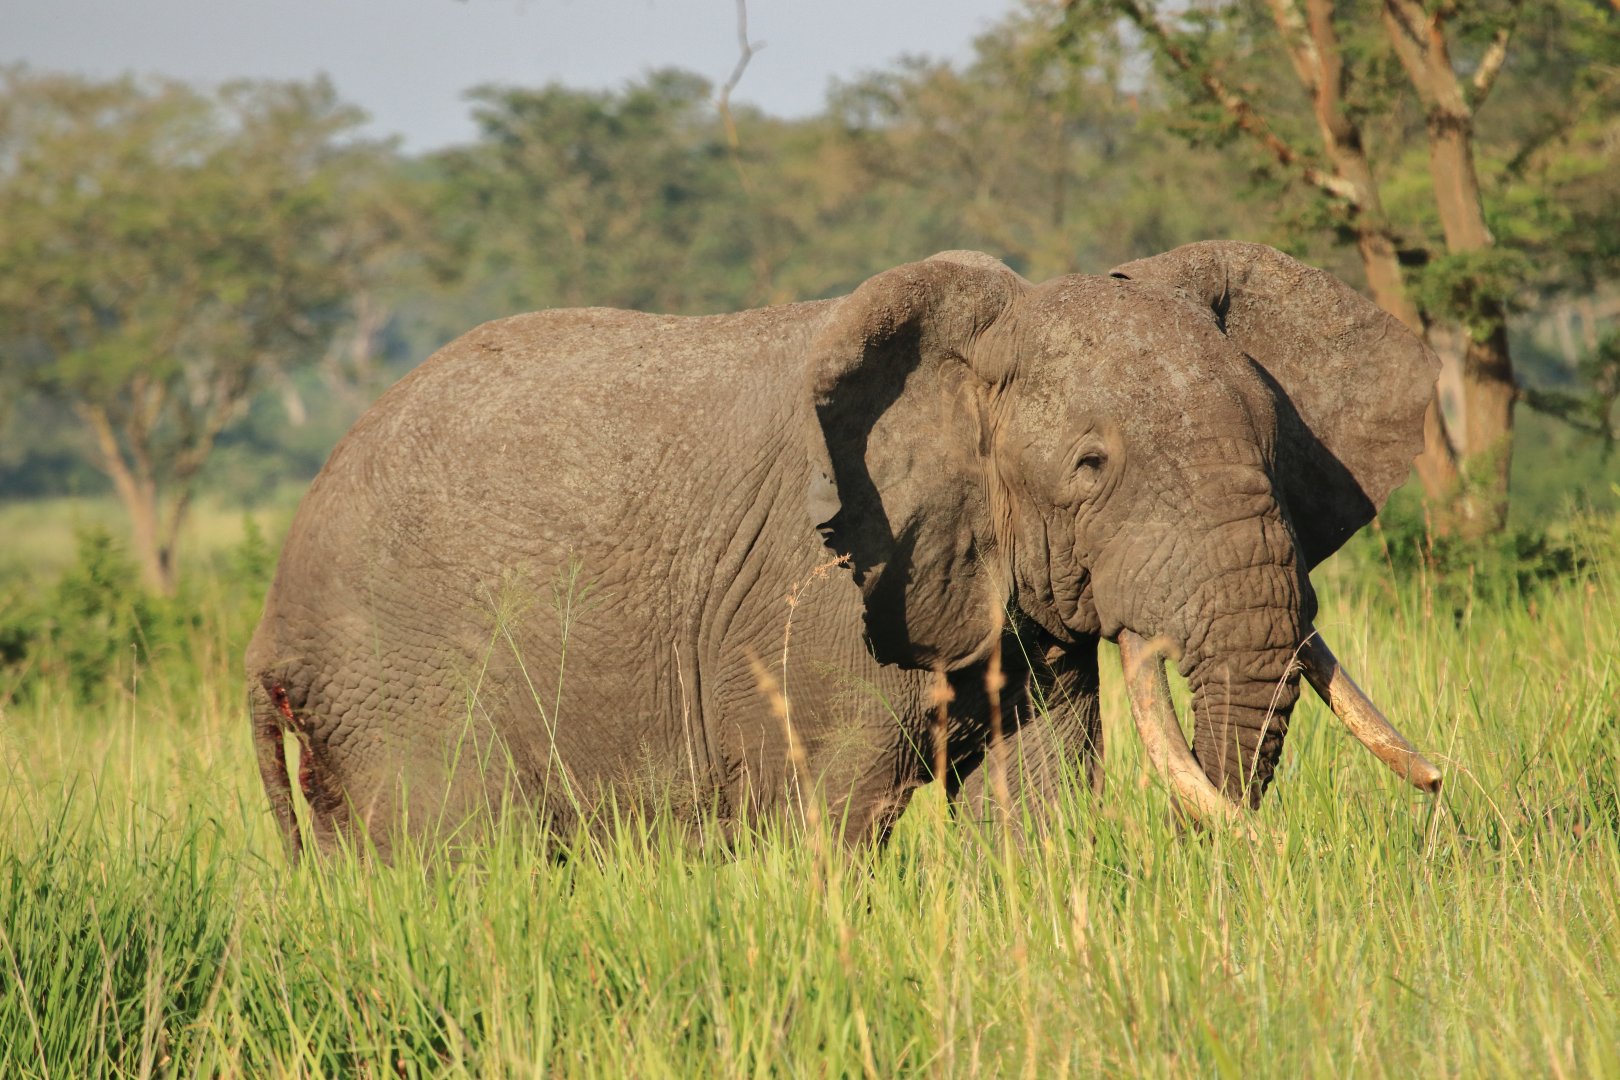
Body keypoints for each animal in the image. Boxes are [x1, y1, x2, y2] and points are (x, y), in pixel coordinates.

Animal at [246, 241, 1444, 860]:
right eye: (1091, 466)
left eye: (1275, 445)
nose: (1442, 785)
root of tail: (267, 633)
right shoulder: (812, 596)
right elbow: (835, 811)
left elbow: (1036, 796)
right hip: (401, 680)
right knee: (461, 856)